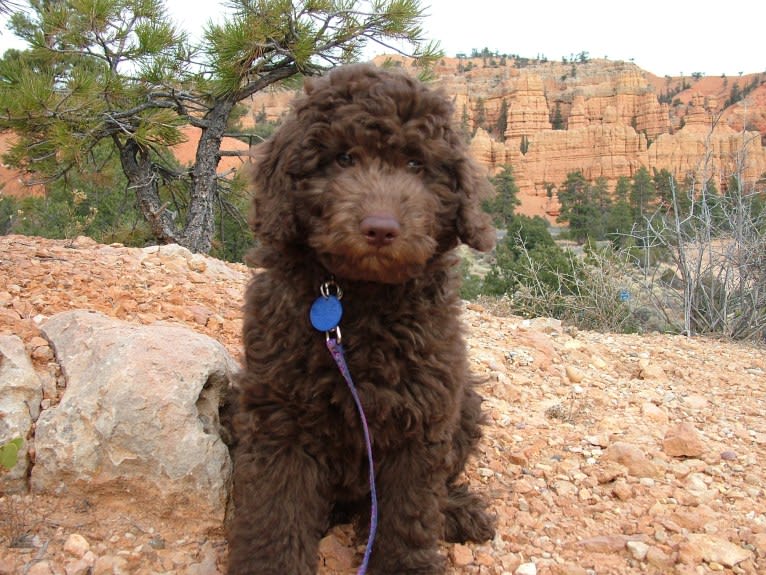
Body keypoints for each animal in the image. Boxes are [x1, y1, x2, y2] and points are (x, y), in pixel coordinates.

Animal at [228, 64, 498, 575]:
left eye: (415, 164)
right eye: (343, 158)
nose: (380, 229)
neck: (360, 300)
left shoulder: (421, 416)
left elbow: (409, 512)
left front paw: (407, 565)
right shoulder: (281, 417)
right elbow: (277, 511)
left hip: (464, 402)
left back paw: (458, 511)